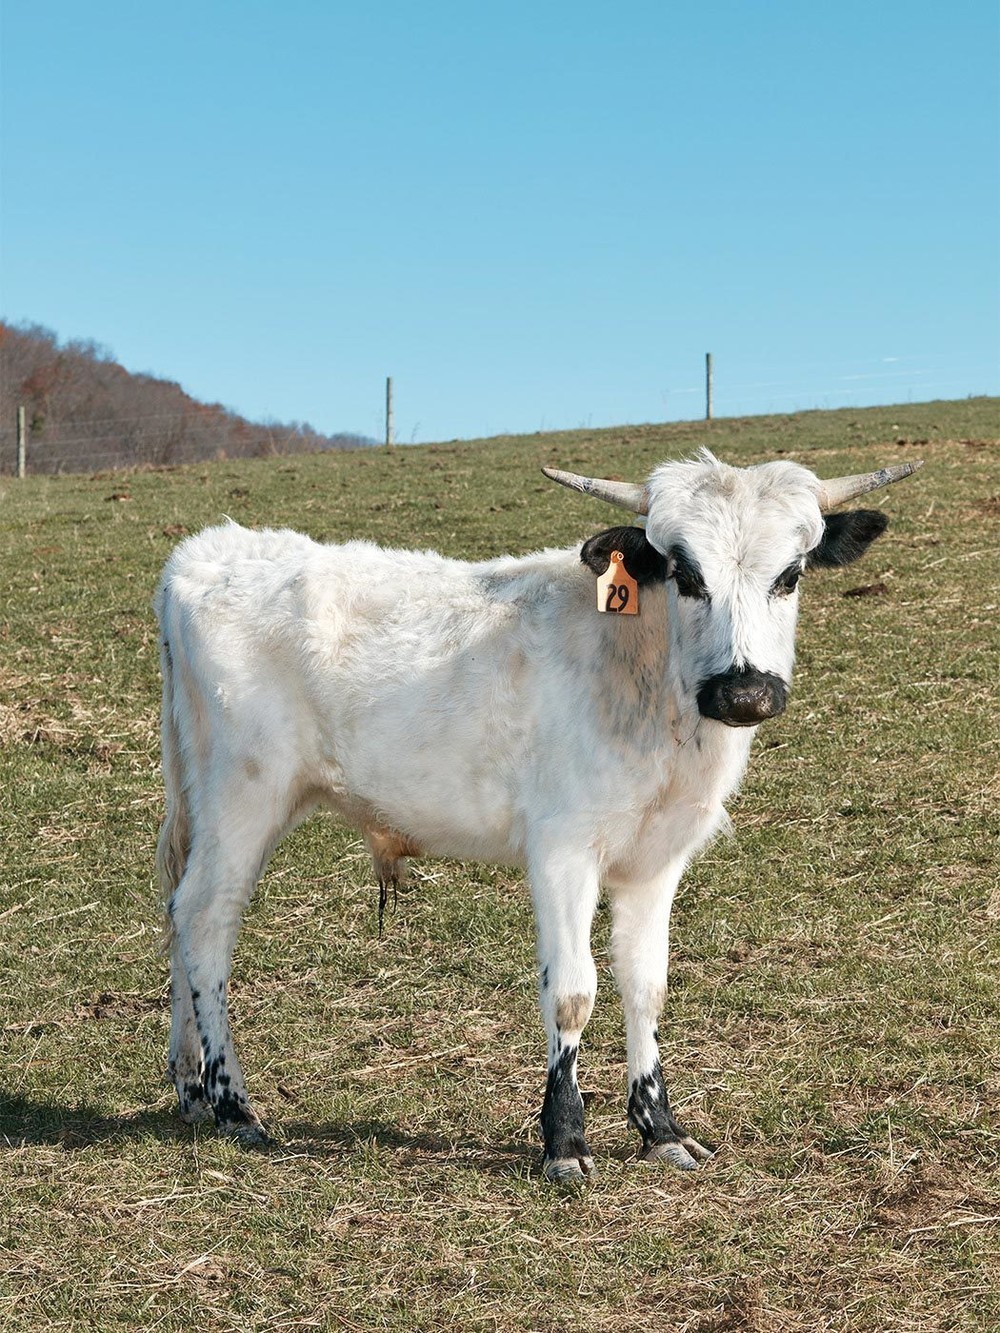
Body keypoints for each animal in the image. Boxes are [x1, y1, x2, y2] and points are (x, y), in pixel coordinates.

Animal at [154, 449, 921, 1184]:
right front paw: (565, 1142)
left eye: (790, 575)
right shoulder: (562, 849)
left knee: (178, 910)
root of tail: (206, 550)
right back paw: (233, 1103)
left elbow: (646, 983)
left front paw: (660, 1129)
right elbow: (573, 992)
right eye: (684, 573)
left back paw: (190, 1088)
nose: (744, 692)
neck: (645, 682)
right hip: (244, 795)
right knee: (205, 917)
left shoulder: (656, 860)